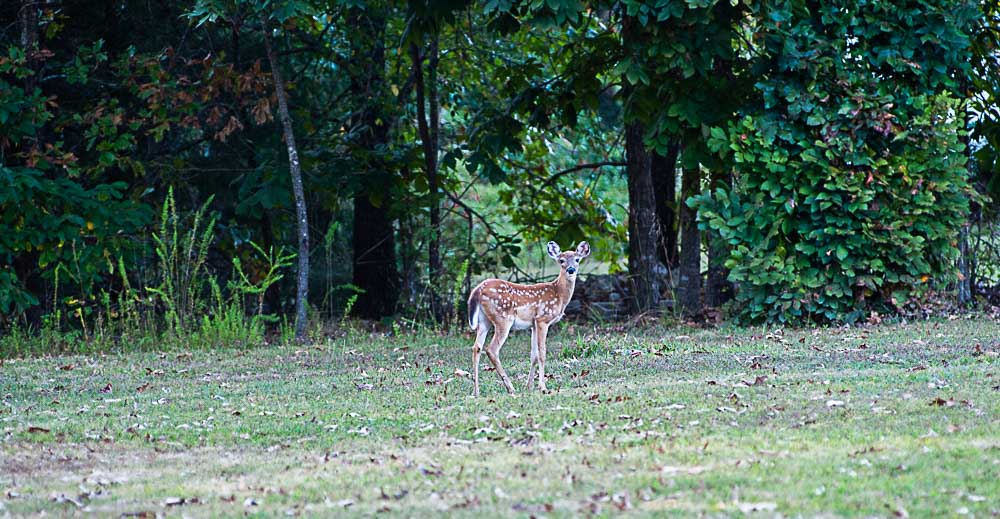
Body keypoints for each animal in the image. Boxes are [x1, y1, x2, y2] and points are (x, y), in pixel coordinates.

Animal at [467, 240, 591, 396]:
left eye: (577, 259)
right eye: (561, 260)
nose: (571, 270)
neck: (559, 294)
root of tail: (478, 289)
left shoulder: (533, 325)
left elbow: (534, 355)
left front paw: (529, 386)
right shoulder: (542, 319)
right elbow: (542, 352)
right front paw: (543, 387)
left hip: (484, 320)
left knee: (476, 347)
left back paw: (476, 391)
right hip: (503, 318)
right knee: (491, 349)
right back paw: (510, 387)